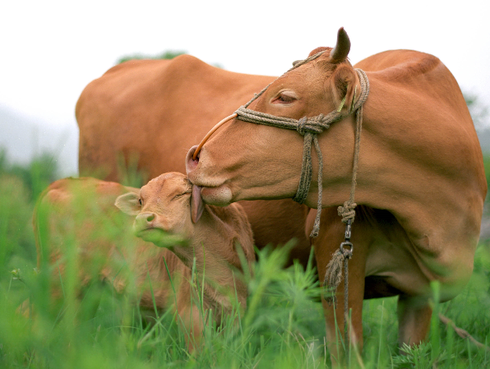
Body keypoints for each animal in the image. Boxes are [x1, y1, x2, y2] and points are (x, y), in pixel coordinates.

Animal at [34, 174, 255, 350]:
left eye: (180, 194)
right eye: (141, 200)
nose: (143, 219)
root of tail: (64, 182)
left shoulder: (236, 313)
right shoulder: (190, 314)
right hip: (57, 278)